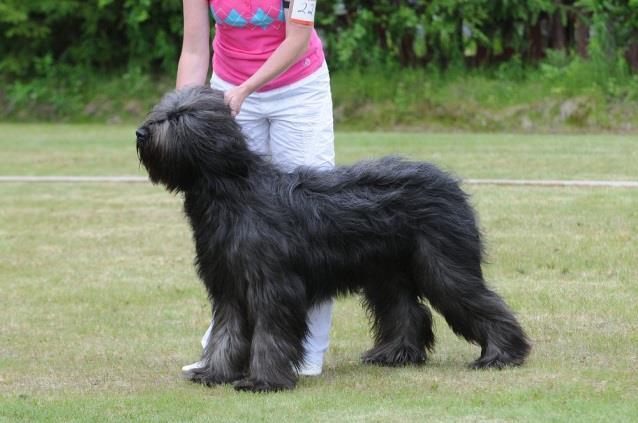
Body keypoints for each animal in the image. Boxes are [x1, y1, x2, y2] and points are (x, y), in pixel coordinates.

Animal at [138, 86, 532, 394]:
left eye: (179, 117)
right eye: (163, 111)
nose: (141, 132)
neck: (233, 193)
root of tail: (449, 182)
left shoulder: (273, 284)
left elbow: (269, 333)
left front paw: (262, 381)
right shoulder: (228, 285)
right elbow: (226, 332)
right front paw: (214, 373)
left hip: (442, 264)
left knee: (478, 301)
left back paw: (502, 355)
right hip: (387, 273)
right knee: (407, 310)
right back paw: (396, 355)